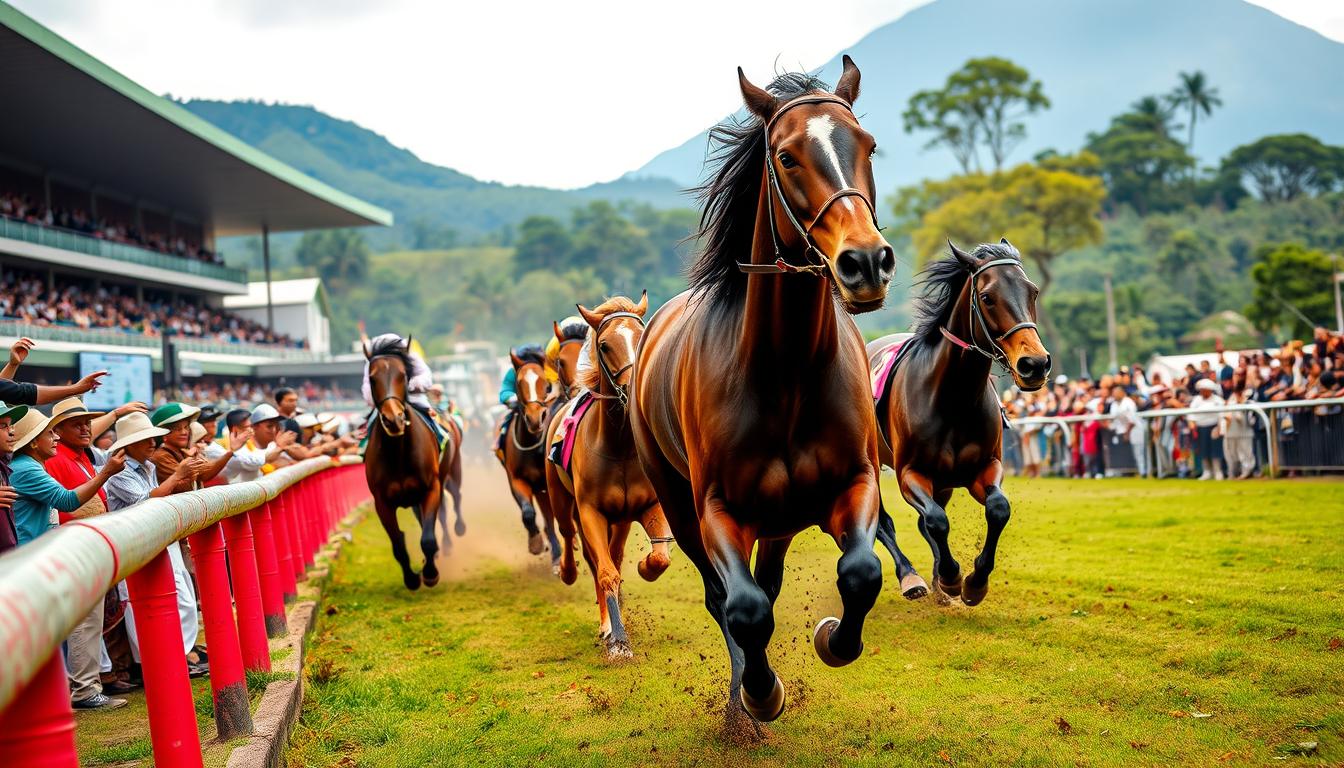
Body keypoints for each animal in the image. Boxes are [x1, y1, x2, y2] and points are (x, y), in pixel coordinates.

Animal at [365, 333, 459, 591]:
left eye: (403, 375)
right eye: (372, 378)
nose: (394, 419)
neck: (399, 453)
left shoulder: (431, 488)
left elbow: (427, 538)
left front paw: (430, 573)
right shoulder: (382, 502)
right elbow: (398, 544)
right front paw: (411, 578)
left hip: (450, 474)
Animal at [542, 293, 672, 661]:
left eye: (641, 337)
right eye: (604, 345)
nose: (634, 389)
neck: (619, 446)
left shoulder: (648, 506)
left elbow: (659, 557)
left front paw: (645, 567)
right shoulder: (591, 512)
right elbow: (604, 572)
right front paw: (619, 641)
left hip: (621, 521)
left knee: (612, 554)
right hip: (562, 500)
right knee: (573, 540)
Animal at [626, 57, 892, 731]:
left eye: (868, 145)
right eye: (786, 156)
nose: (866, 262)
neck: (786, 373)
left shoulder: (856, 481)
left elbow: (860, 572)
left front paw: (832, 638)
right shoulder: (717, 509)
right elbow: (742, 608)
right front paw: (759, 691)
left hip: (779, 520)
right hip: (680, 505)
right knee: (723, 596)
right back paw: (742, 694)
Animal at [870, 240, 1048, 607]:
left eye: (1033, 291)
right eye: (988, 297)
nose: (1035, 364)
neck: (953, 398)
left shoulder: (985, 466)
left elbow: (998, 508)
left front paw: (974, 581)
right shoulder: (910, 473)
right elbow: (936, 520)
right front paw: (951, 578)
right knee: (886, 523)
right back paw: (911, 577)